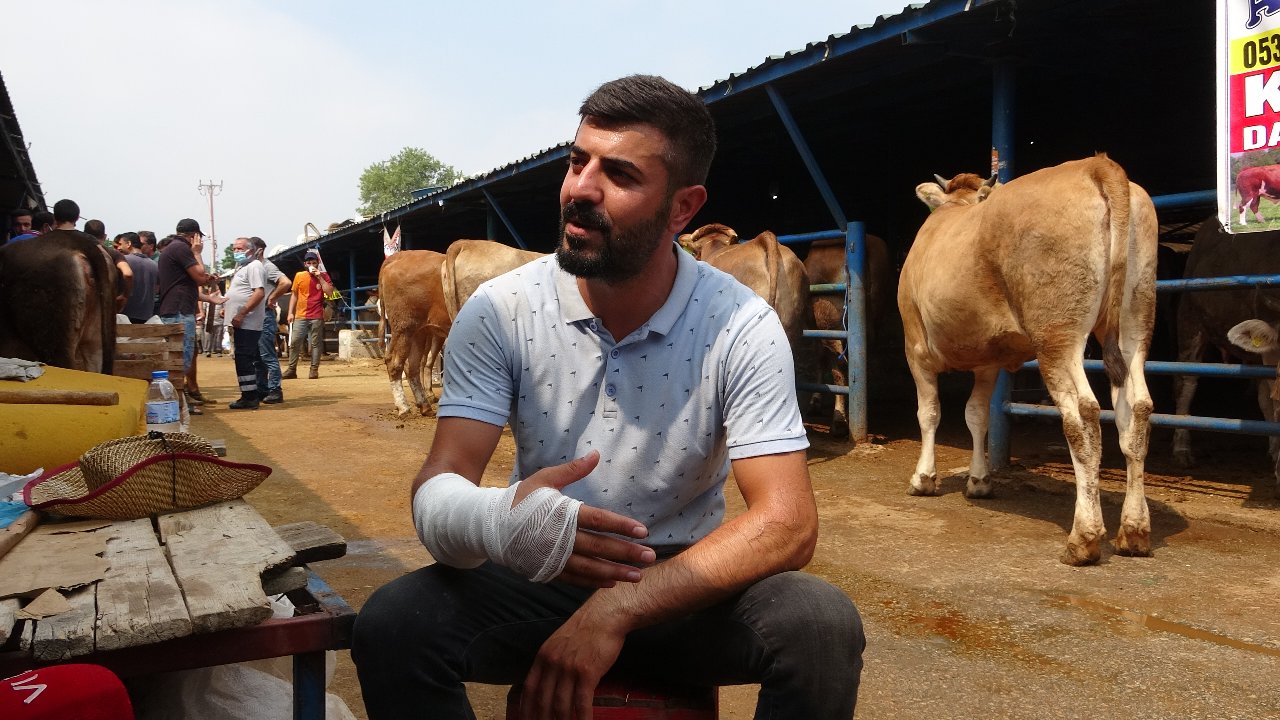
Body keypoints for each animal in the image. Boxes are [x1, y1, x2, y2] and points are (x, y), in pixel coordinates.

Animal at [373, 249, 450, 415]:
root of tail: (402, 255)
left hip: (419, 332)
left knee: (414, 365)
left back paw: (424, 404)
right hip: (405, 328)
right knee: (396, 363)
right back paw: (403, 406)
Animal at [901, 154, 1162, 563]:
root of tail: (1095, 165)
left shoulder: (915, 347)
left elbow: (929, 413)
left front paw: (924, 478)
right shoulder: (987, 362)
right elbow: (977, 415)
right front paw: (979, 480)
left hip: (1058, 335)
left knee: (1083, 416)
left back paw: (1084, 537)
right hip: (1135, 320)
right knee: (1137, 409)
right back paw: (1134, 531)